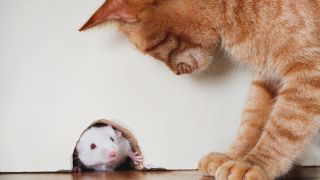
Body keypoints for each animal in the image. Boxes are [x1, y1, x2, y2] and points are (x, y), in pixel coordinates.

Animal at [79, 0, 318, 179]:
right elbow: (253, 121)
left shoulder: (308, 72)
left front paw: (255, 164)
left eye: (153, 50)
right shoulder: (267, 77)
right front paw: (232, 157)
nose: (177, 73)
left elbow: (283, 127)